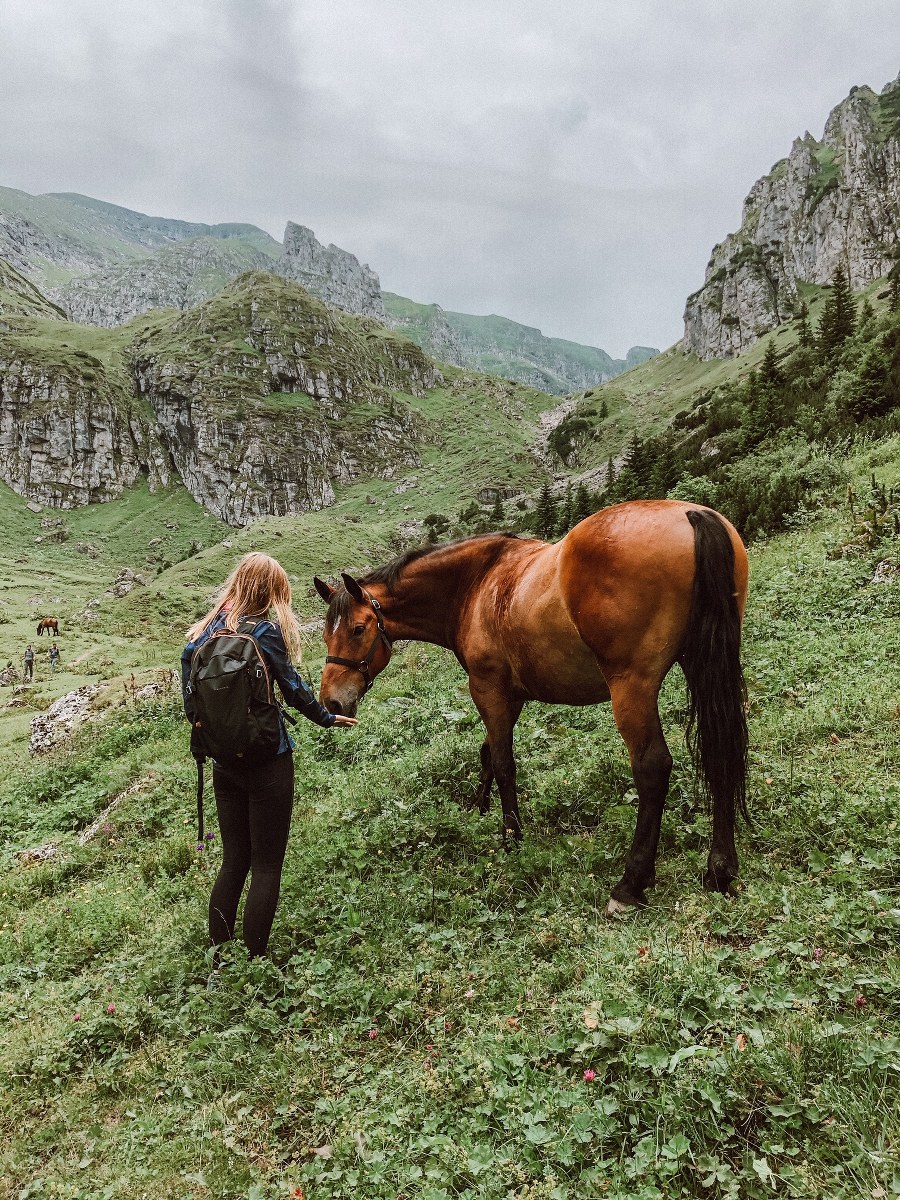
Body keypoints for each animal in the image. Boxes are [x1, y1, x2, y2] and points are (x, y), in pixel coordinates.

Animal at [313, 501, 749, 914]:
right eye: (325, 635)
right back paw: (720, 870)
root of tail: (692, 514)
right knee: (722, 751)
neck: (475, 584)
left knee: (652, 767)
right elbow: (487, 753)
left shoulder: (488, 691)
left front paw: (511, 838)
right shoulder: (512, 696)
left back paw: (631, 884)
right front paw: (479, 807)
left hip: (632, 687)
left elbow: (503, 762)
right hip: (704, 664)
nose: (331, 701)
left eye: (358, 629)